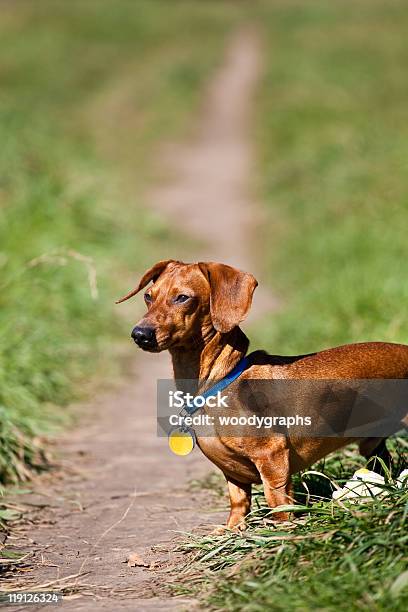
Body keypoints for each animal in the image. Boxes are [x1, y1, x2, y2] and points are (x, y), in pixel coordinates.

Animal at [116, 260, 406, 528]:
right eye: (148, 296)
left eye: (182, 297)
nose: (139, 334)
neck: (216, 382)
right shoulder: (234, 474)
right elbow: (238, 502)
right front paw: (231, 532)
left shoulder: (272, 456)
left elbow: (277, 501)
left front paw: (282, 532)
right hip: (372, 446)